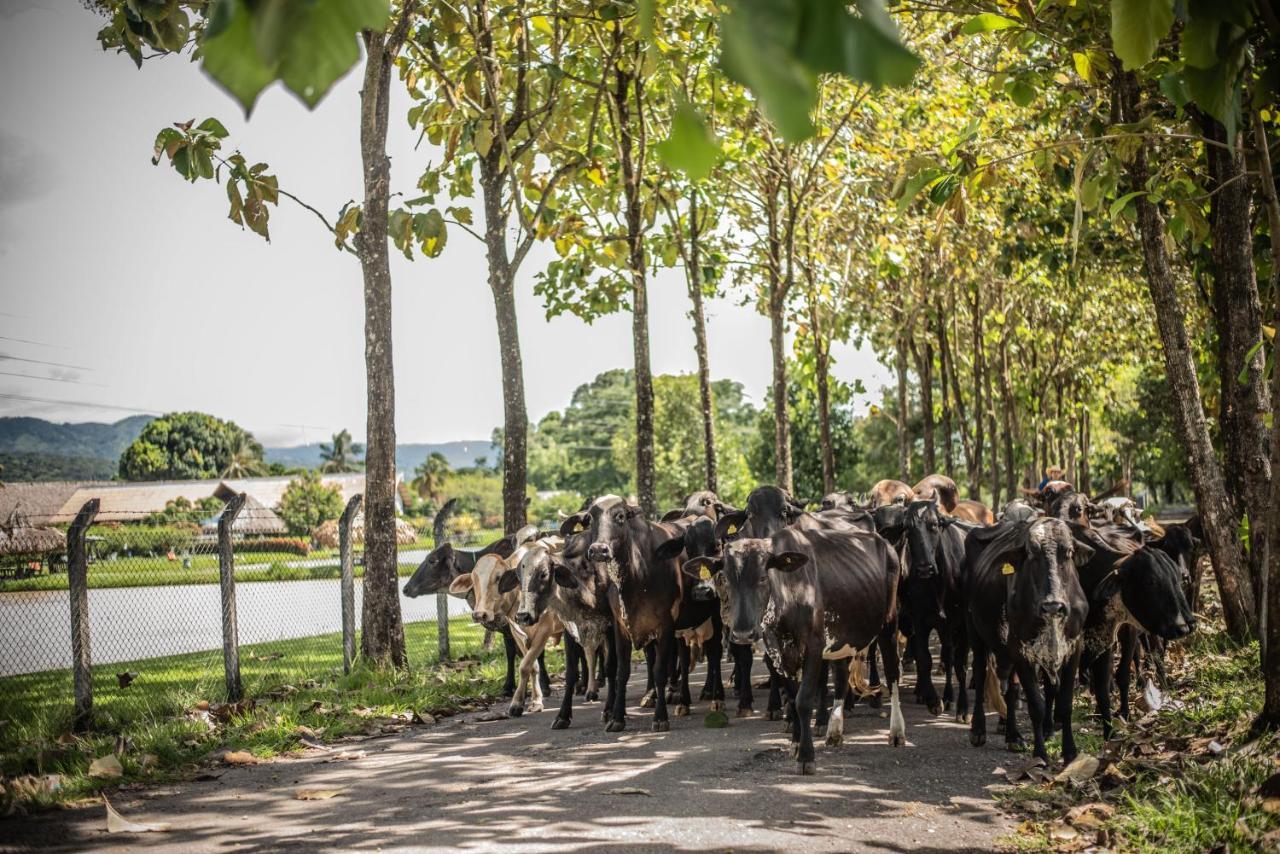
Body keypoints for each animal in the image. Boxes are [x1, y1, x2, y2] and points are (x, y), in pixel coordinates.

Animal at [686, 524, 906, 778]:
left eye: (763, 577)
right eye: (726, 579)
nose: (742, 634)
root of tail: (884, 542)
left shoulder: (814, 645)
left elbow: (804, 699)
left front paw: (806, 757)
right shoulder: (776, 651)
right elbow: (791, 697)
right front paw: (796, 743)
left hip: (889, 623)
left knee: (892, 673)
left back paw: (896, 733)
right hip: (842, 637)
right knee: (842, 678)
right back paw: (835, 731)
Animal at [967, 517, 1090, 763]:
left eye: (1068, 552)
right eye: (1032, 554)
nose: (1053, 606)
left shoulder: (1074, 647)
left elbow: (1064, 702)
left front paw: (1069, 751)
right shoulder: (1020, 649)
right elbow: (1036, 705)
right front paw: (1040, 754)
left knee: (1012, 691)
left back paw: (1013, 736)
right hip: (976, 632)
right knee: (980, 674)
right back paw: (978, 730)